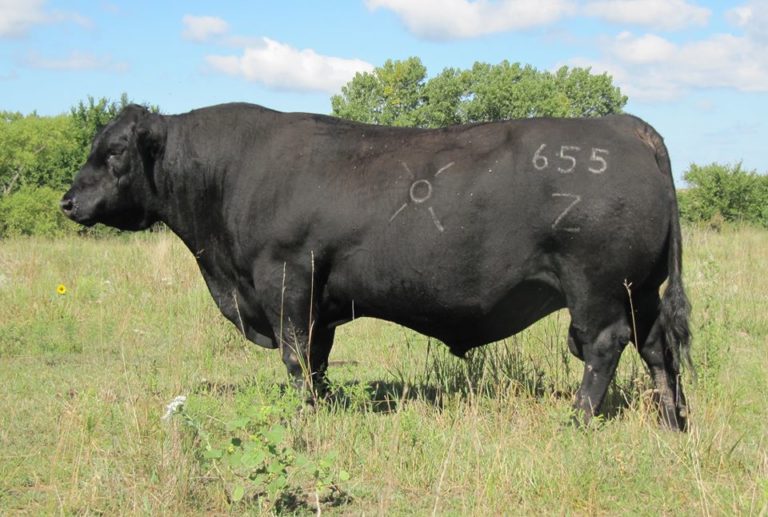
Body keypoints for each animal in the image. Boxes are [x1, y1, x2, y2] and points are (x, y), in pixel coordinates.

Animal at [61, 103, 692, 430]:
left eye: (113, 151)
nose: (67, 202)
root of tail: (623, 124)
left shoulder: (285, 276)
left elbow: (295, 354)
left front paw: (304, 417)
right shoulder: (318, 297)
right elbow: (316, 357)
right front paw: (322, 404)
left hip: (596, 286)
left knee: (603, 346)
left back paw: (578, 419)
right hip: (641, 288)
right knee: (656, 348)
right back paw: (673, 421)